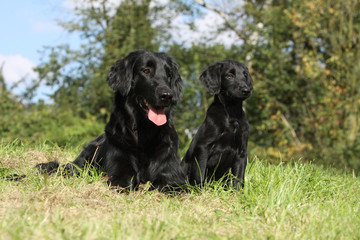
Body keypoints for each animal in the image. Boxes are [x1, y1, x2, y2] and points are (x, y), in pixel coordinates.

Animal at [36, 49, 186, 191]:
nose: (167, 95)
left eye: (169, 74)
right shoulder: (120, 174)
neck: (145, 133)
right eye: (146, 70)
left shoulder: (173, 177)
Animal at [180, 60, 253, 189]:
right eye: (230, 75)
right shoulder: (203, 148)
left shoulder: (242, 152)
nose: (246, 90)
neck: (231, 113)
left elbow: (238, 178)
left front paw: (236, 192)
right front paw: (200, 192)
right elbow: (200, 175)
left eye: (245, 75)